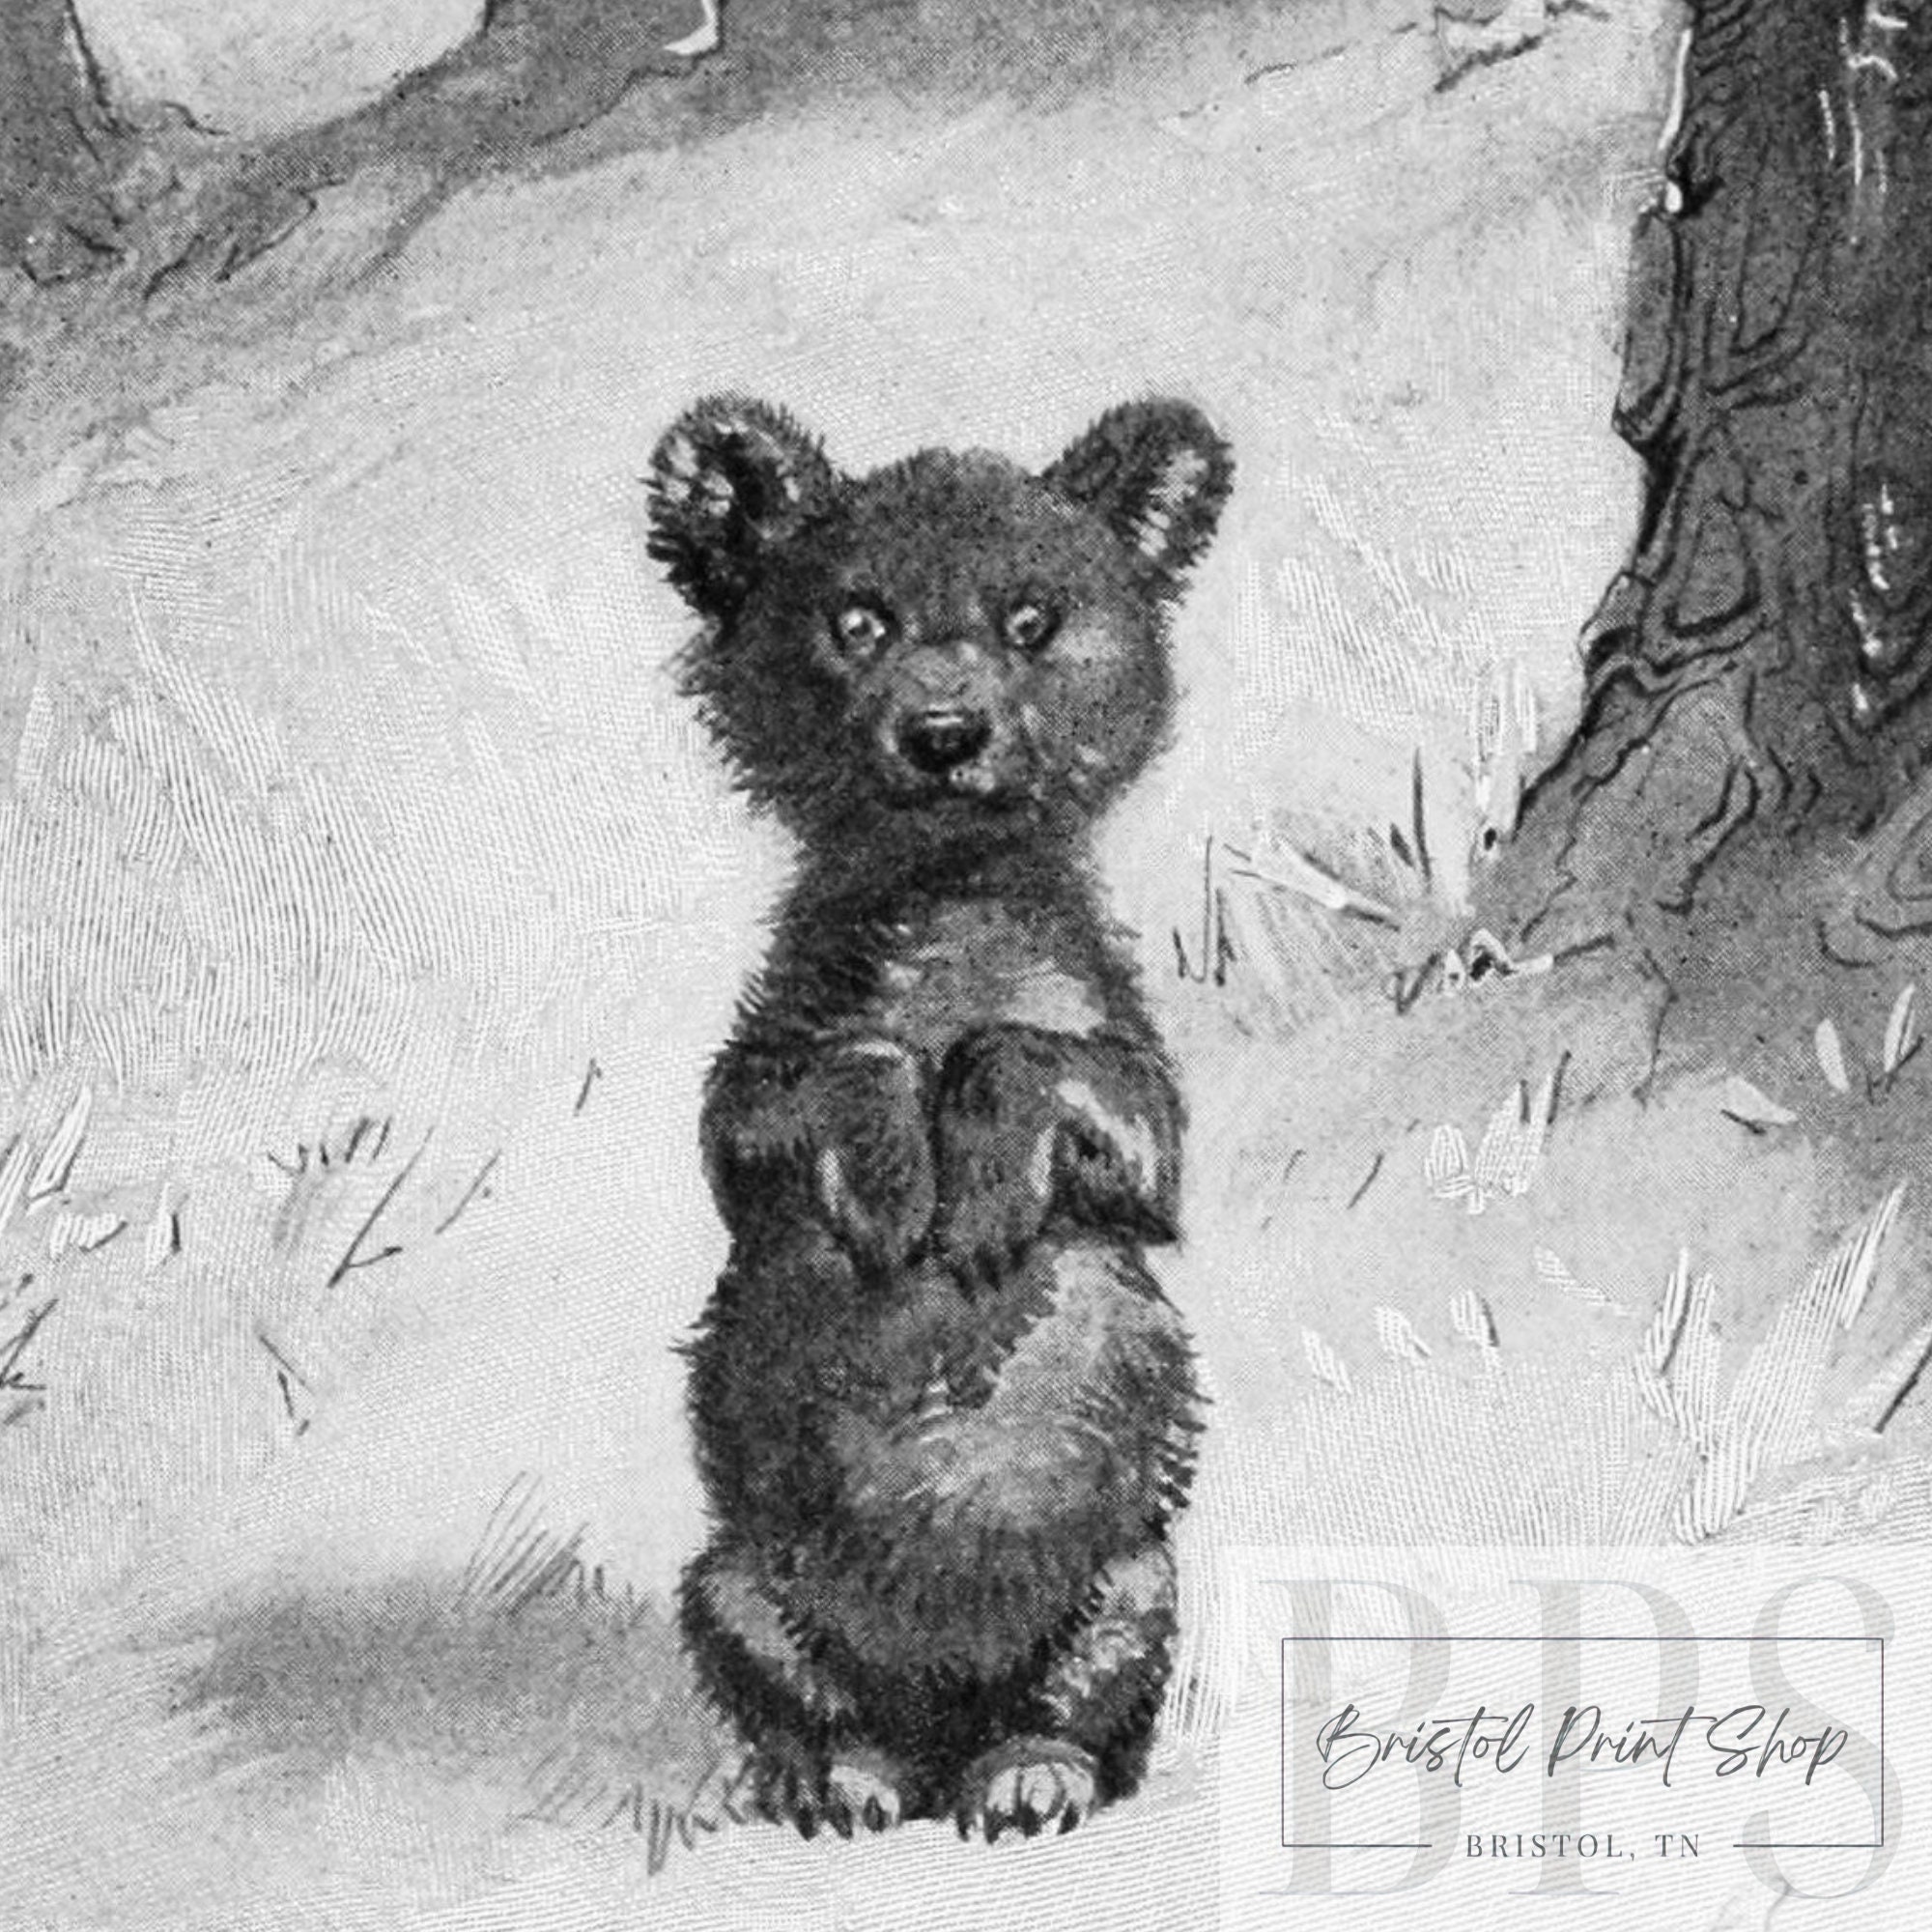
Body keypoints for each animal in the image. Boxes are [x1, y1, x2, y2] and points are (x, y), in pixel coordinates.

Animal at [645, 392, 1232, 1842]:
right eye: (859, 620)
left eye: (1032, 617)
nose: (945, 731)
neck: (942, 906)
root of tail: (939, 1702)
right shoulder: (751, 1095)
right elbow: (829, 1078)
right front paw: (897, 1188)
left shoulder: (1139, 1105)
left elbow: (1028, 1057)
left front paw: (975, 1199)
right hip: (734, 1581)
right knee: (811, 1702)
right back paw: (844, 1778)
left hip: (1131, 1581)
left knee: (1073, 1708)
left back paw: (1026, 1776)